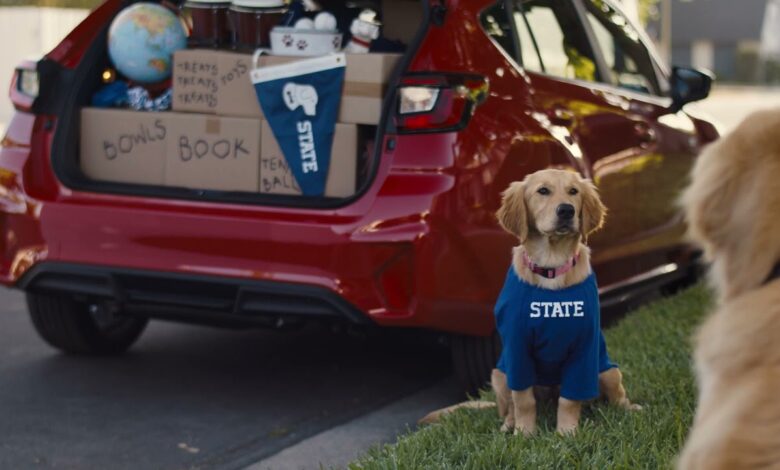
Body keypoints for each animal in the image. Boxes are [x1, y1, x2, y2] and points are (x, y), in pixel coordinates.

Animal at [494, 167, 640, 436]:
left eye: (574, 191)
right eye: (543, 190)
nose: (566, 210)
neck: (551, 265)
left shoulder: (584, 347)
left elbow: (570, 399)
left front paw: (567, 433)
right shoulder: (517, 349)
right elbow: (523, 400)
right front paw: (525, 433)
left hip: (608, 370)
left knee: (615, 396)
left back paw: (629, 410)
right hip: (499, 374)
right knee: (510, 405)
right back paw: (509, 424)